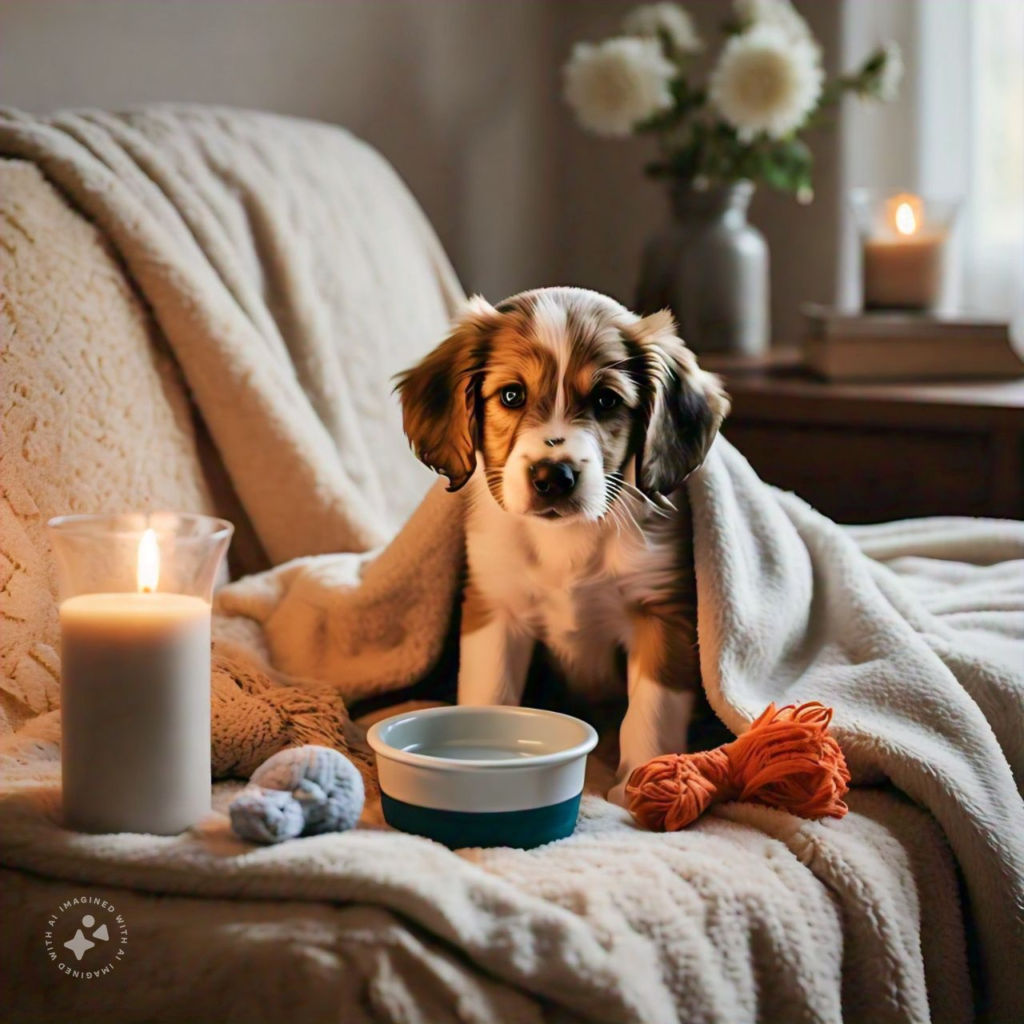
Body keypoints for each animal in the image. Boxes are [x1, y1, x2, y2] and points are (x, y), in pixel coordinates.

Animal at [393, 288, 729, 806]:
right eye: (511, 394)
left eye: (606, 399)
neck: (567, 540)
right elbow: (490, 690)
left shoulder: (663, 613)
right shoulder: (497, 605)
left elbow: (651, 710)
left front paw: (642, 781)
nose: (554, 476)